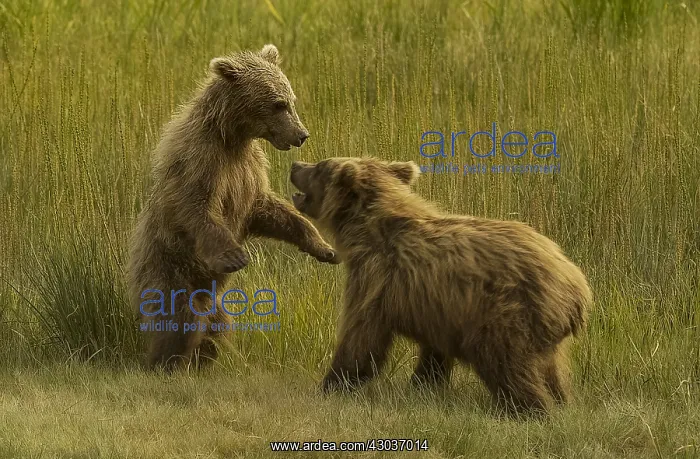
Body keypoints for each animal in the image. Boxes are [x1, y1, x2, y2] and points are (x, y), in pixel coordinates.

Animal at [127, 44, 339, 371]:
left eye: (291, 100)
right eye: (278, 104)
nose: (302, 135)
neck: (233, 137)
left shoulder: (248, 170)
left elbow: (269, 210)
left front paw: (324, 247)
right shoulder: (202, 161)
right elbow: (197, 207)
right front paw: (235, 255)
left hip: (214, 298)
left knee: (218, 324)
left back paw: (204, 358)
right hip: (169, 268)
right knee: (180, 319)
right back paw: (165, 363)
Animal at [289, 156, 592, 414]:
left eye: (320, 166)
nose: (295, 165)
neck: (364, 230)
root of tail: (577, 288)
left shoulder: (376, 278)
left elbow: (361, 336)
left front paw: (330, 385)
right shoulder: (436, 304)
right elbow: (433, 352)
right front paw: (422, 384)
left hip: (507, 313)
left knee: (509, 365)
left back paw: (530, 408)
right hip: (545, 330)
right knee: (552, 370)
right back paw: (561, 401)